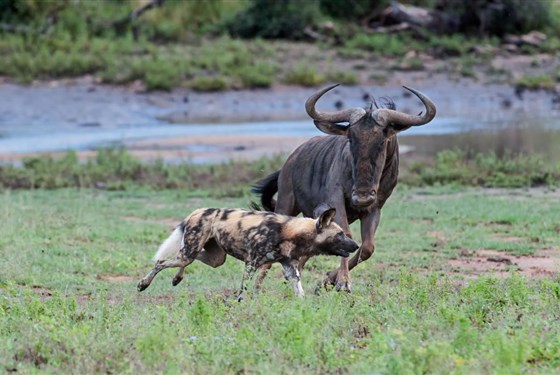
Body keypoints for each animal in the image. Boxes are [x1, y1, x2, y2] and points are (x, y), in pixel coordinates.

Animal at [138, 207, 360, 298]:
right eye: (340, 234)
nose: (356, 246)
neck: (288, 232)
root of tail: (198, 211)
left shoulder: (290, 268)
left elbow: (299, 290)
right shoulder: (251, 263)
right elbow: (243, 290)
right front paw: (239, 303)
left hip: (213, 257)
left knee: (183, 259)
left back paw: (177, 278)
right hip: (190, 252)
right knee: (161, 262)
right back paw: (143, 284)